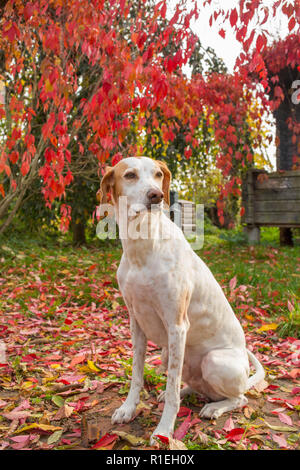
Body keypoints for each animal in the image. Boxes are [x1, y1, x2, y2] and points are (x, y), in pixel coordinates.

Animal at [99, 157, 264, 444]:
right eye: (130, 175)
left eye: (157, 174)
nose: (156, 195)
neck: (143, 245)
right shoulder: (136, 323)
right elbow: (137, 376)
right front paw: (129, 408)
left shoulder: (177, 326)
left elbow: (172, 390)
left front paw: (163, 431)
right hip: (175, 356)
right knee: (191, 386)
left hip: (213, 361)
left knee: (238, 398)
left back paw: (215, 407)